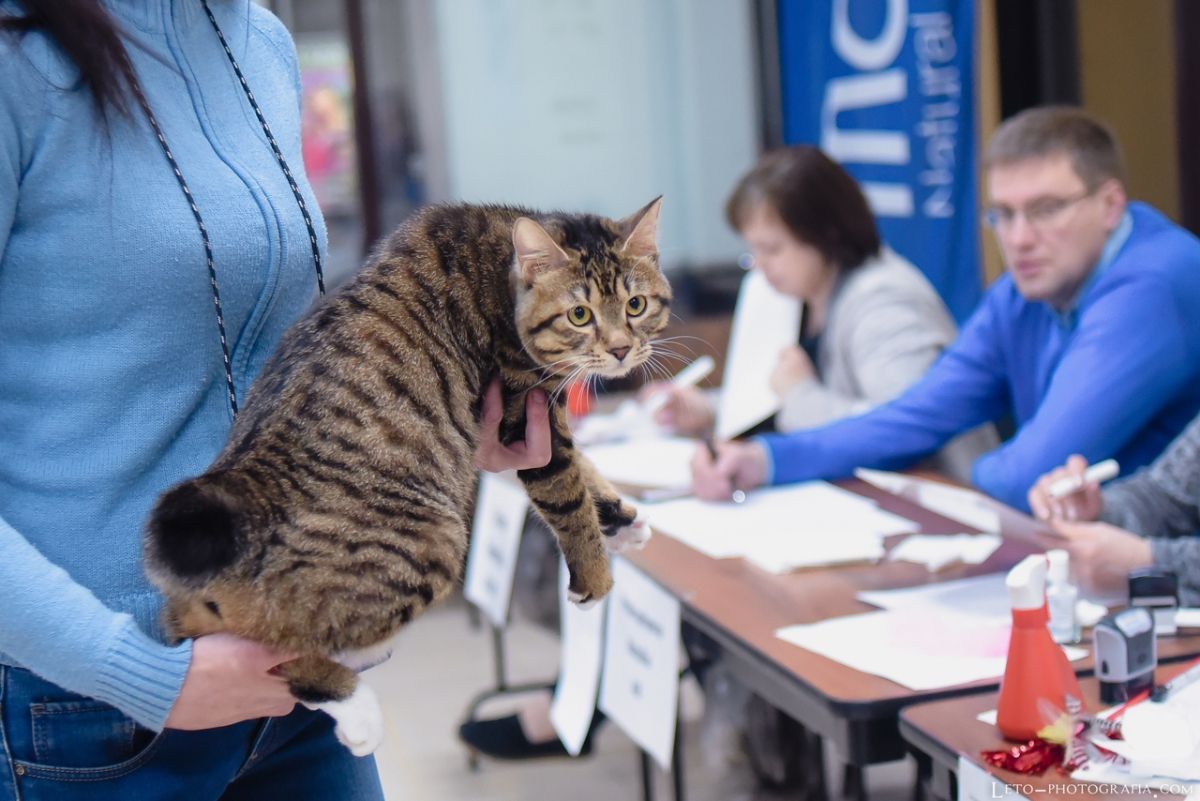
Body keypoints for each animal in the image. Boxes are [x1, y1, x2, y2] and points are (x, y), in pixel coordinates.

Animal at [144, 196, 672, 753]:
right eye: (579, 314)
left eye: (636, 305)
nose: (620, 349)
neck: (502, 264)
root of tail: (244, 490)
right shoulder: (524, 415)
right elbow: (566, 493)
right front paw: (594, 575)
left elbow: (584, 472)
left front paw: (622, 519)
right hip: (431, 540)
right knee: (275, 650)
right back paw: (354, 705)